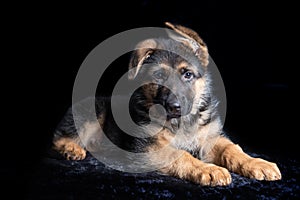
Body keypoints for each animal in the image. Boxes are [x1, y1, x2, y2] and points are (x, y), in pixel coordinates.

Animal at [53, 21, 282, 186]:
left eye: (187, 74)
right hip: (93, 112)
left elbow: (231, 149)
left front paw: (256, 163)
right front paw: (208, 169)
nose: (174, 107)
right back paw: (72, 149)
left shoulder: (210, 138)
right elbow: (180, 154)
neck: (181, 123)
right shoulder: (148, 148)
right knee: (59, 137)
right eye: (159, 77)